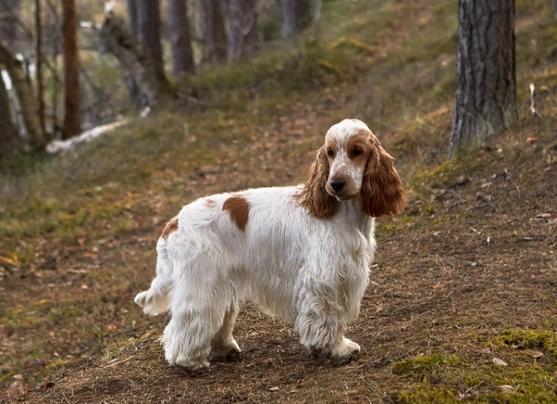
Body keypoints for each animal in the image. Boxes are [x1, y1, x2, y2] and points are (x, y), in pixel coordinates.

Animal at [135, 119, 404, 372]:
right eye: (330, 152)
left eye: (357, 151)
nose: (336, 183)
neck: (342, 211)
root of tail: (173, 223)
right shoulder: (323, 279)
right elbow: (327, 318)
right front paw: (336, 349)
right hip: (201, 284)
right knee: (184, 324)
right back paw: (188, 361)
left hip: (220, 285)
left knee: (218, 320)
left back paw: (225, 349)